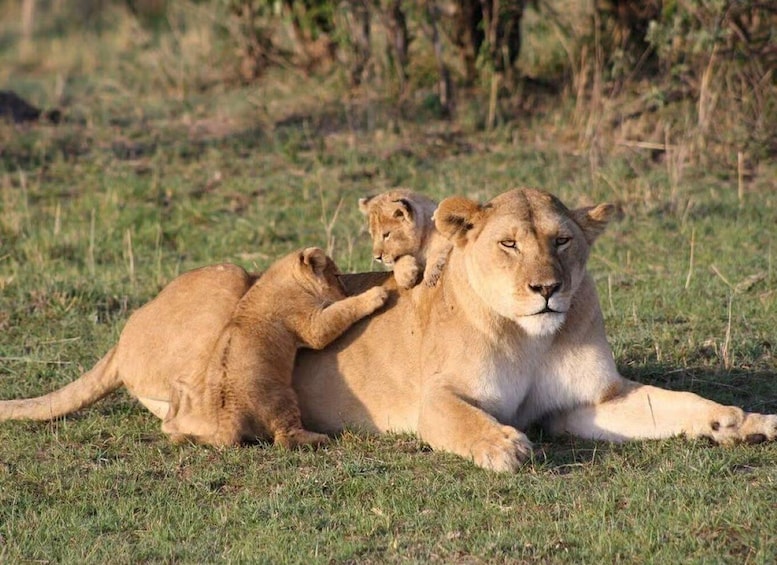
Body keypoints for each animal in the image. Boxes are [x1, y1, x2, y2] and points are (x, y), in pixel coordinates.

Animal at [161, 247, 389, 448]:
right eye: (337, 275)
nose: (346, 292)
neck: (282, 276)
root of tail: (228, 418)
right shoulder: (311, 325)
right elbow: (341, 311)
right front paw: (376, 294)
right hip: (282, 398)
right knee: (284, 439)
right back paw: (319, 438)